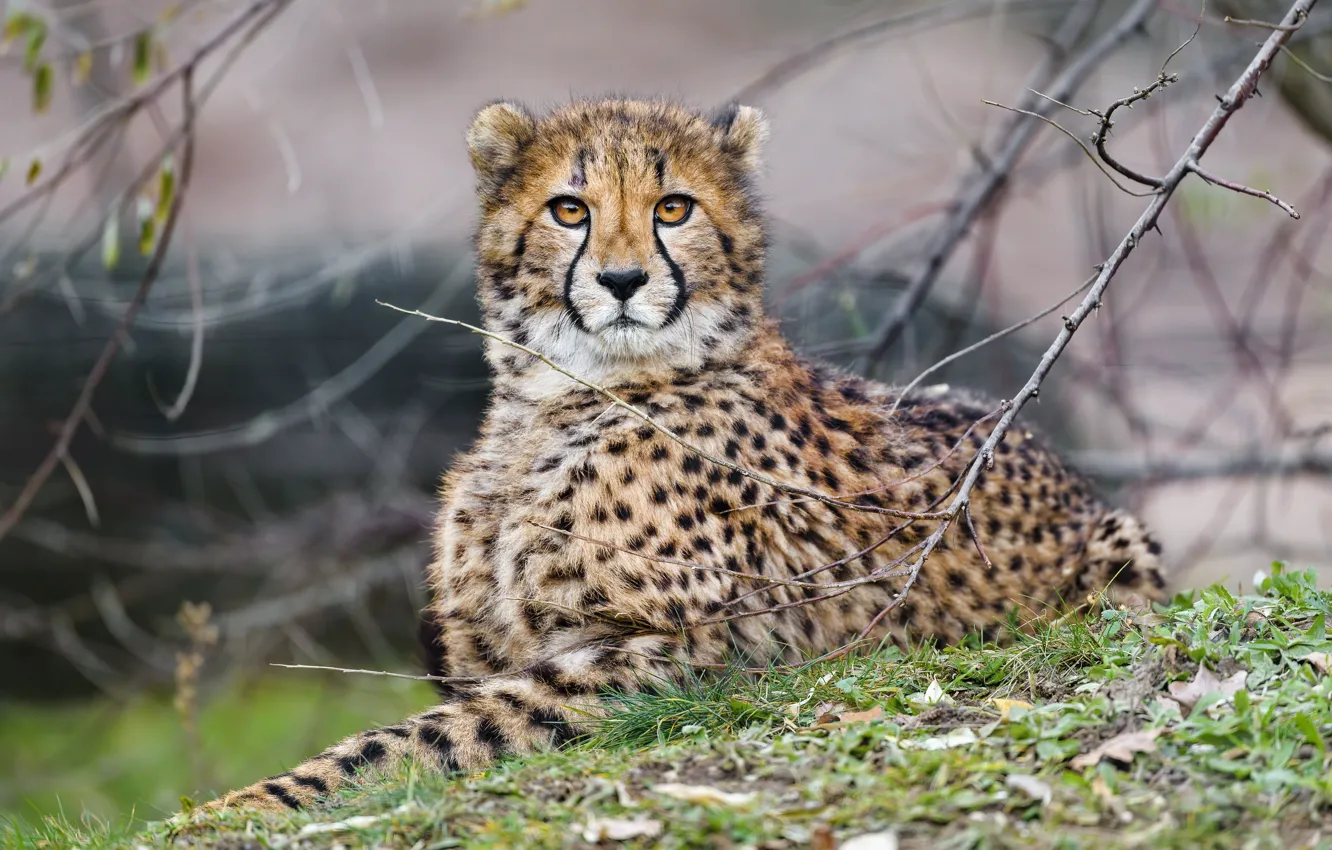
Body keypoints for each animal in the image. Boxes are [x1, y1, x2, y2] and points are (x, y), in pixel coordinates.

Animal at [187, 97, 1167, 817]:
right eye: (569, 209)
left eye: (673, 208)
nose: (622, 280)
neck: (556, 400)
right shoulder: (485, 650)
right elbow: (436, 718)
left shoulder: (685, 656)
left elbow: (422, 737)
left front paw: (238, 808)